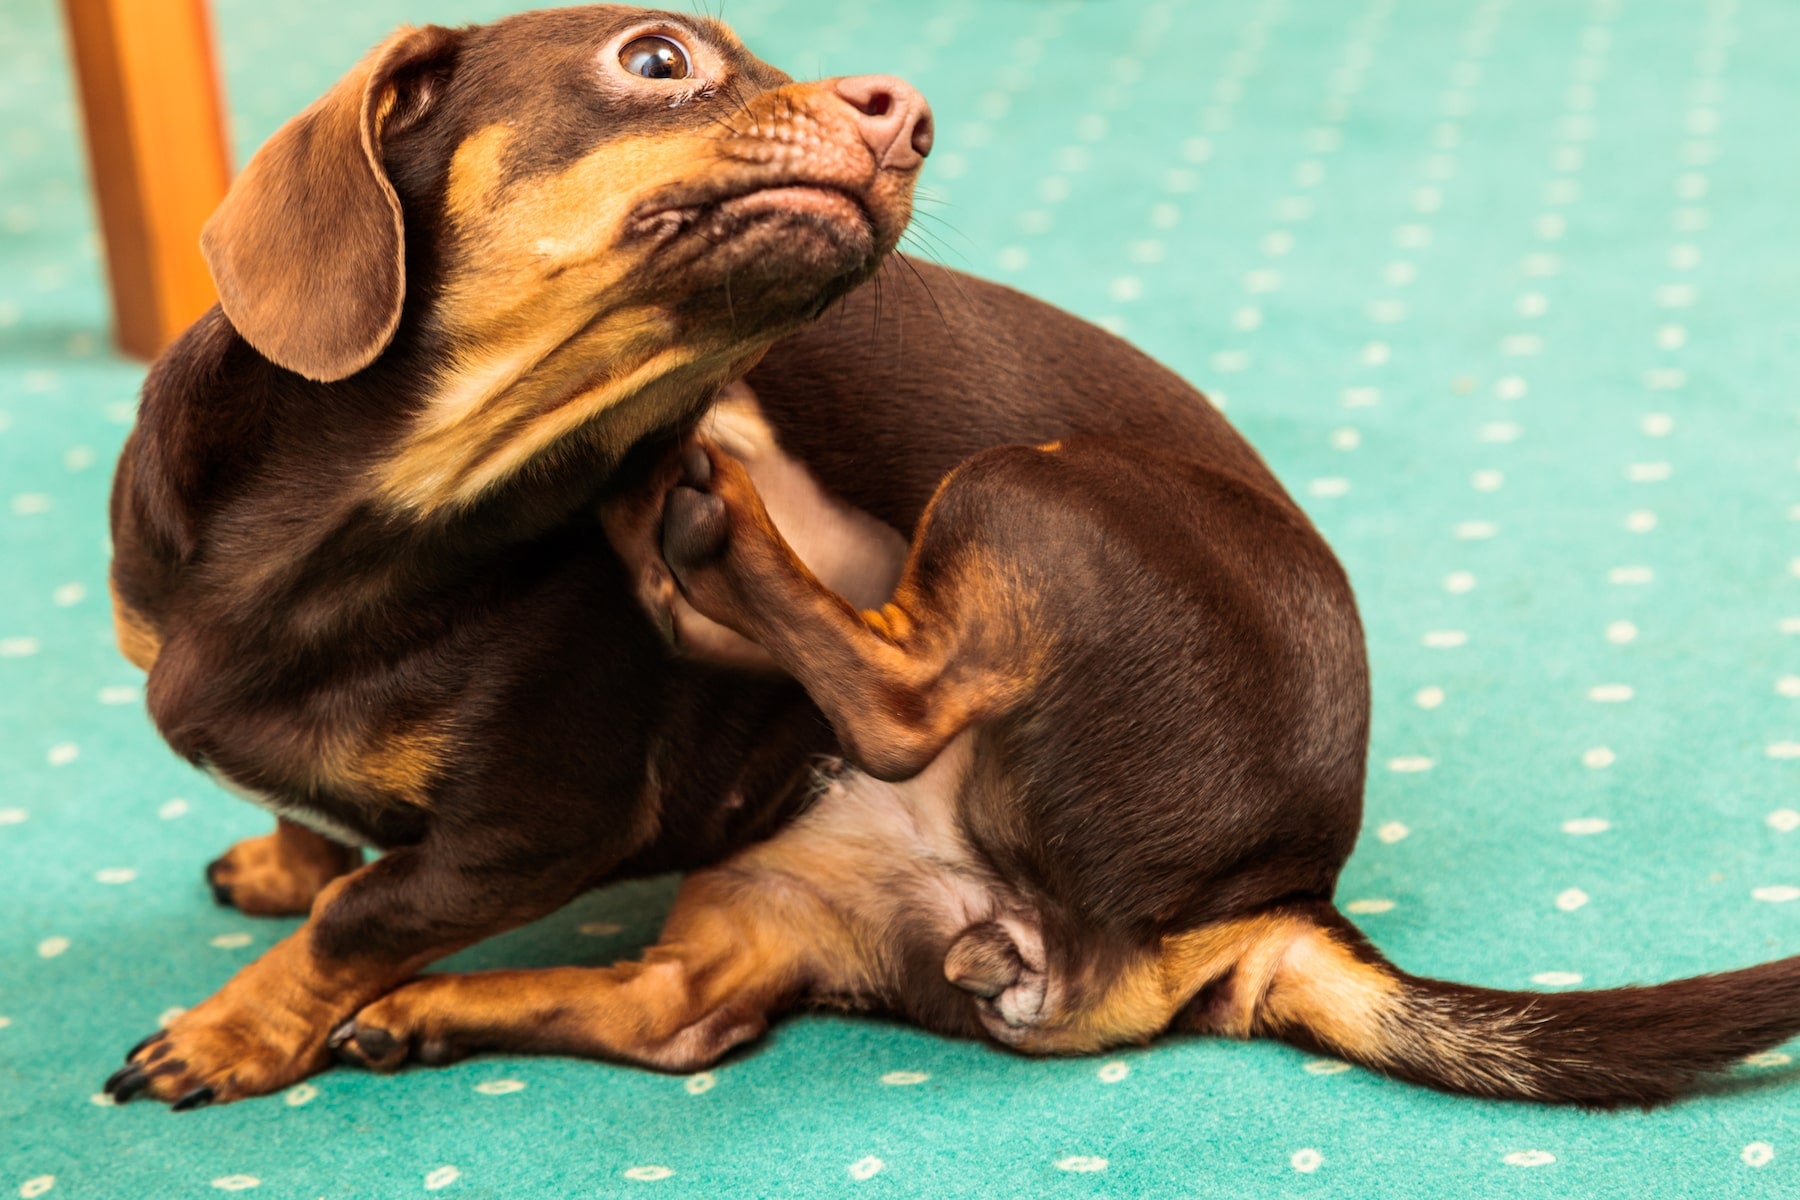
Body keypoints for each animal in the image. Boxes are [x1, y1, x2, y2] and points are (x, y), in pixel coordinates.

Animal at [105, 7, 1792, 1108]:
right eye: (655, 60)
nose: (906, 111)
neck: (368, 530)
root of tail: (1274, 904)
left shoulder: (531, 832)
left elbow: (362, 917)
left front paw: (237, 1030)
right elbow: (319, 842)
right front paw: (283, 858)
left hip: (1035, 489)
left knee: (904, 689)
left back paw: (711, 516)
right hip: (766, 887)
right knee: (671, 1013)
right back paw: (439, 1006)